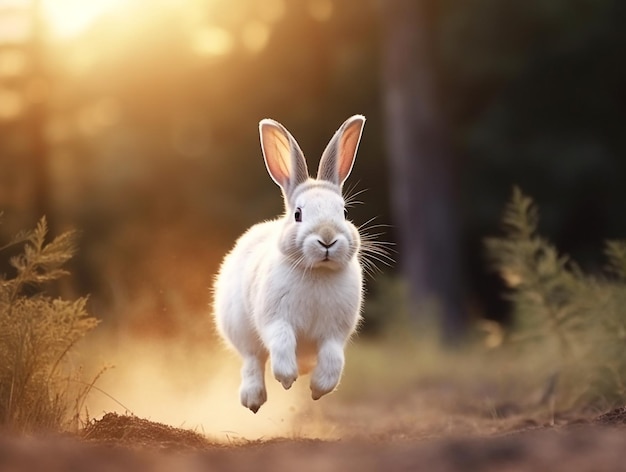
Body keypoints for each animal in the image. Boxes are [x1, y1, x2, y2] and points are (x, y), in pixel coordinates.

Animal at [212, 115, 364, 412]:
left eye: (343, 212)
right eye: (298, 214)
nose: (327, 238)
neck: (317, 271)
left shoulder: (334, 334)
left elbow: (333, 361)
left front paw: (318, 390)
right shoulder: (276, 319)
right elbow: (281, 343)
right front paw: (285, 378)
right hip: (240, 328)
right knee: (253, 361)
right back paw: (253, 399)